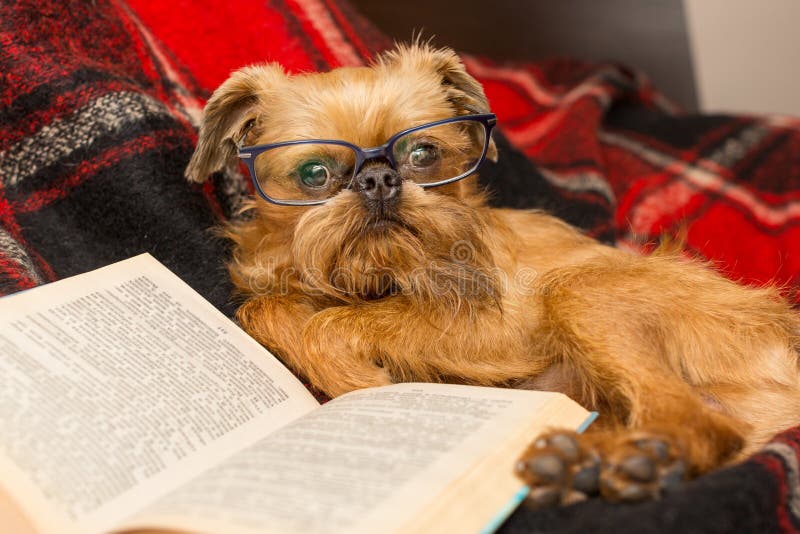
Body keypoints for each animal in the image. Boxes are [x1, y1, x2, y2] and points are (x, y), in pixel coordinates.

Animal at [184, 44, 800, 508]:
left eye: (422, 154)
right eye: (314, 173)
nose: (379, 180)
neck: (377, 279)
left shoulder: (498, 330)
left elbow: (333, 323)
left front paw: (354, 381)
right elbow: (263, 306)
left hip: (577, 290)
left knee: (705, 427)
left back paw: (626, 464)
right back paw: (578, 464)